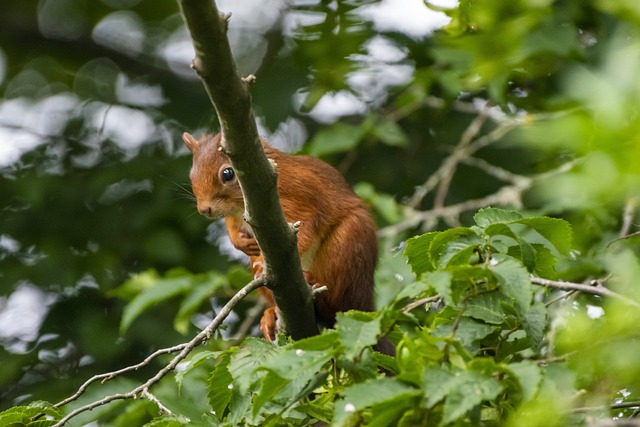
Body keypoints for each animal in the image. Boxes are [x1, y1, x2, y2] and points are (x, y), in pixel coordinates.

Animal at [182, 134, 378, 344]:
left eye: (227, 173)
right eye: (191, 174)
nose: (204, 209)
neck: (241, 205)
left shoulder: (298, 193)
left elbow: (307, 223)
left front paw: (263, 264)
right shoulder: (234, 215)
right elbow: (232, 227)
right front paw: (240, 242)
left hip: (347, 246)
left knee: (337, 305)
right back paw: (271, 313)